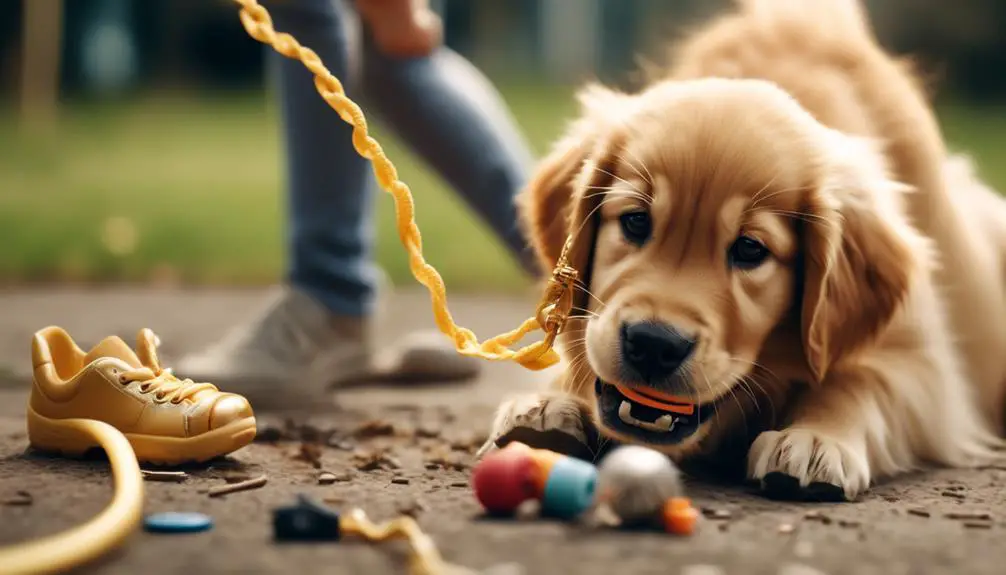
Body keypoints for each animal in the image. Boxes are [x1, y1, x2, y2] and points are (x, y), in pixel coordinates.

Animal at [478, 0, 1006, 502]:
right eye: (636, 221)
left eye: (750, 249)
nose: (654, 343)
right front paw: (547, 403)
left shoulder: (923, 363)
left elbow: (859, 381)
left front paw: (816, 439)